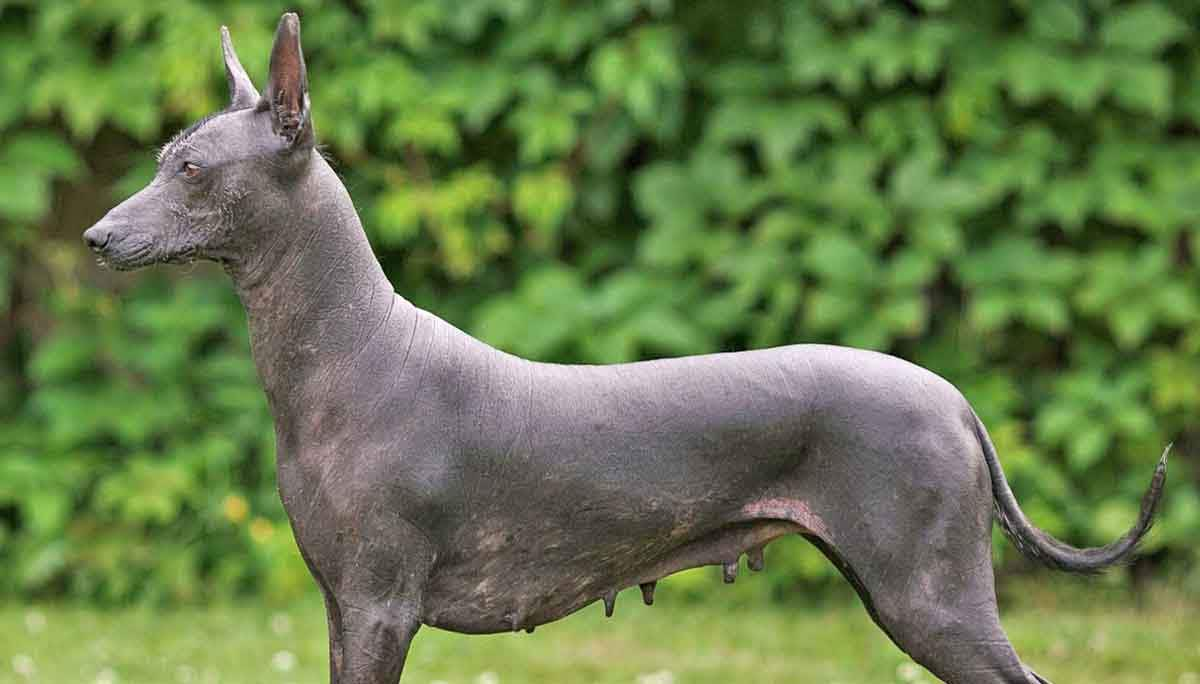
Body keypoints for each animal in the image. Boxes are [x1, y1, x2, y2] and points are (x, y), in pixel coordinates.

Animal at [87, 12, 1171, 681]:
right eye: (161, 160)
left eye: (191, 171)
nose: (95, 238)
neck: (352, 354)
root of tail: (954, 398)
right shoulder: (338, 608)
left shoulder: (380, 606)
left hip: (929, 598)